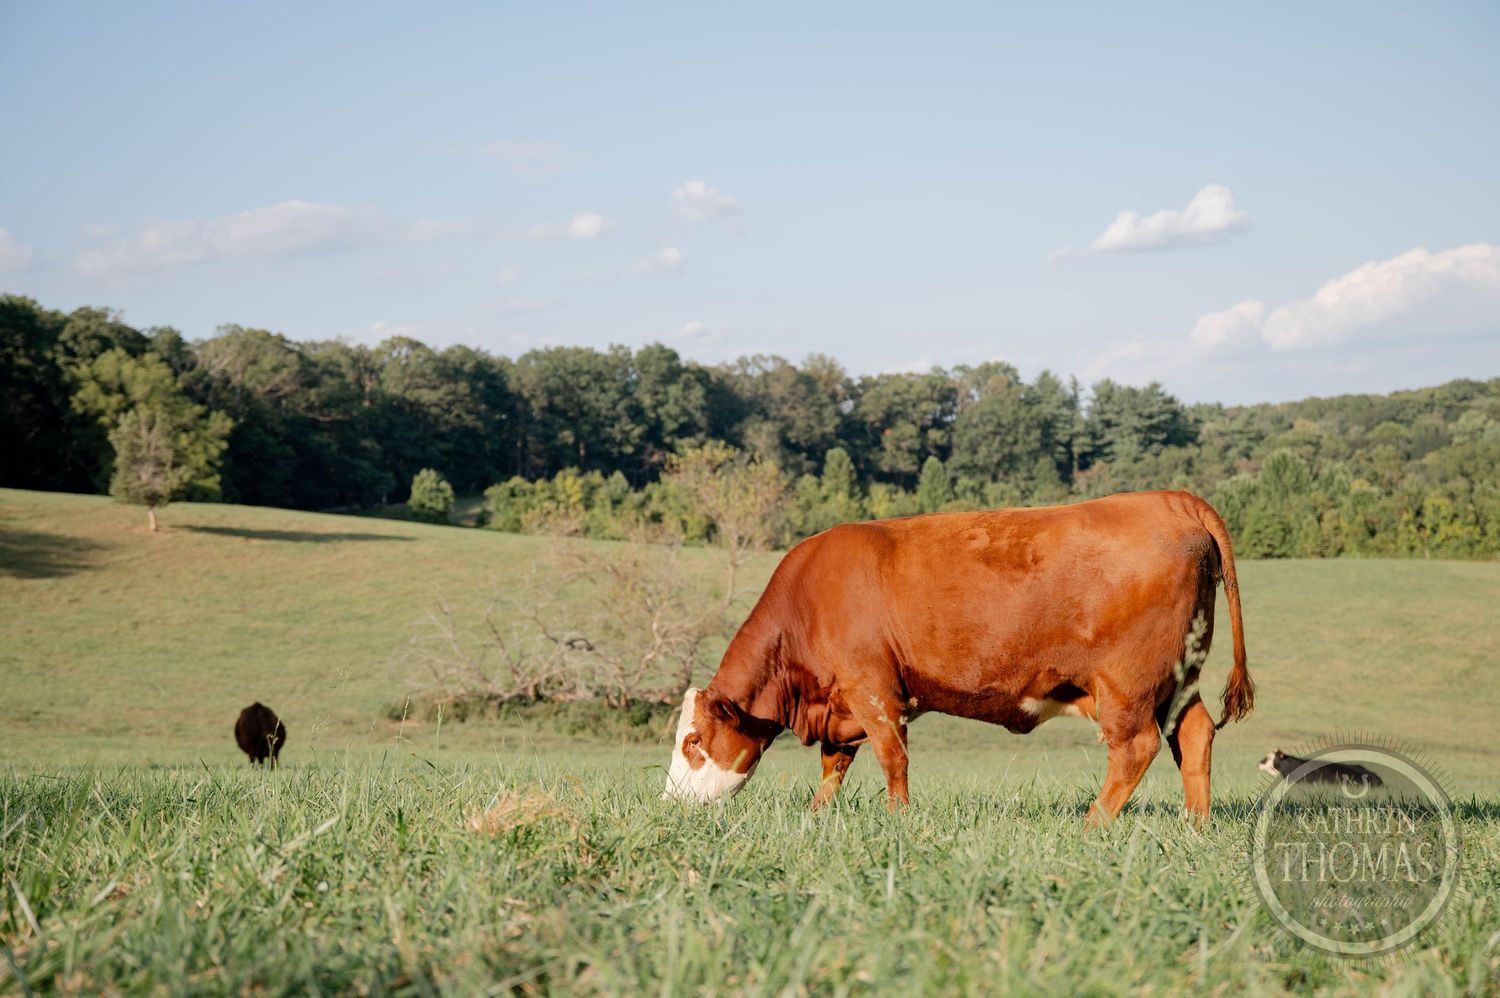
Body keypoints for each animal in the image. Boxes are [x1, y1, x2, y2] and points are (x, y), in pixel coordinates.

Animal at [662, 490, 1252, 823]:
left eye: (693, 741)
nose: (668, 803)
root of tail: (1170, 498)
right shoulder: (840, 704)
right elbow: (834, 765)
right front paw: (817, 816)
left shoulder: (872, 690)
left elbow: (892, 759)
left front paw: (897, 821)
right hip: (1178, 678)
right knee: (1194, 734)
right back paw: (1195, 826)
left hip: (1127, 685)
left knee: (1135, 748)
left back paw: (1093, 824)